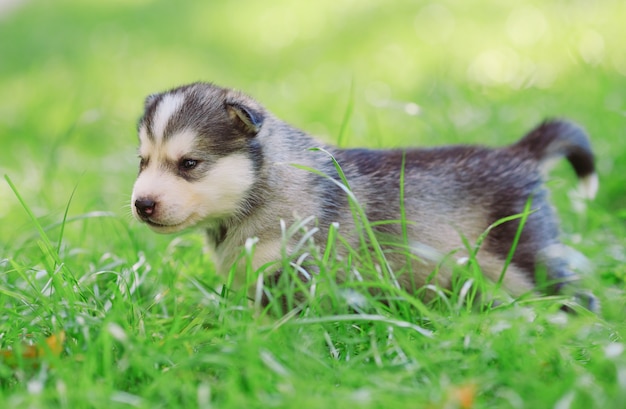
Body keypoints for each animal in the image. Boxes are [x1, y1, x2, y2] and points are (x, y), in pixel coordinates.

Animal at [130, 81, 596, 308]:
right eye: (142, 162)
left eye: (189, 163)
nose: (142, 204)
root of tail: (520, 153)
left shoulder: (297, 268)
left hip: (526, 254)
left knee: (574, 292)